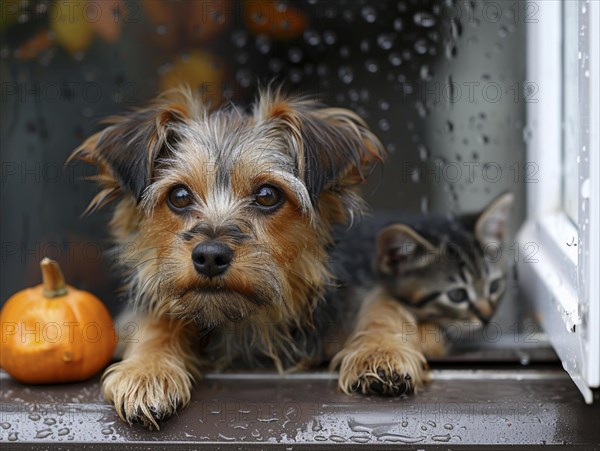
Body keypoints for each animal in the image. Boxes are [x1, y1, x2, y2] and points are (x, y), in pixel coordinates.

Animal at [70, 88, 432, 430]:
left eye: (268, 195)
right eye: (179, 196)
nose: (210, 256)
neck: (246, 320)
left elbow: (382, 306)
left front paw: (380, 353)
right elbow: (155, 320)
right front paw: (147, 370)